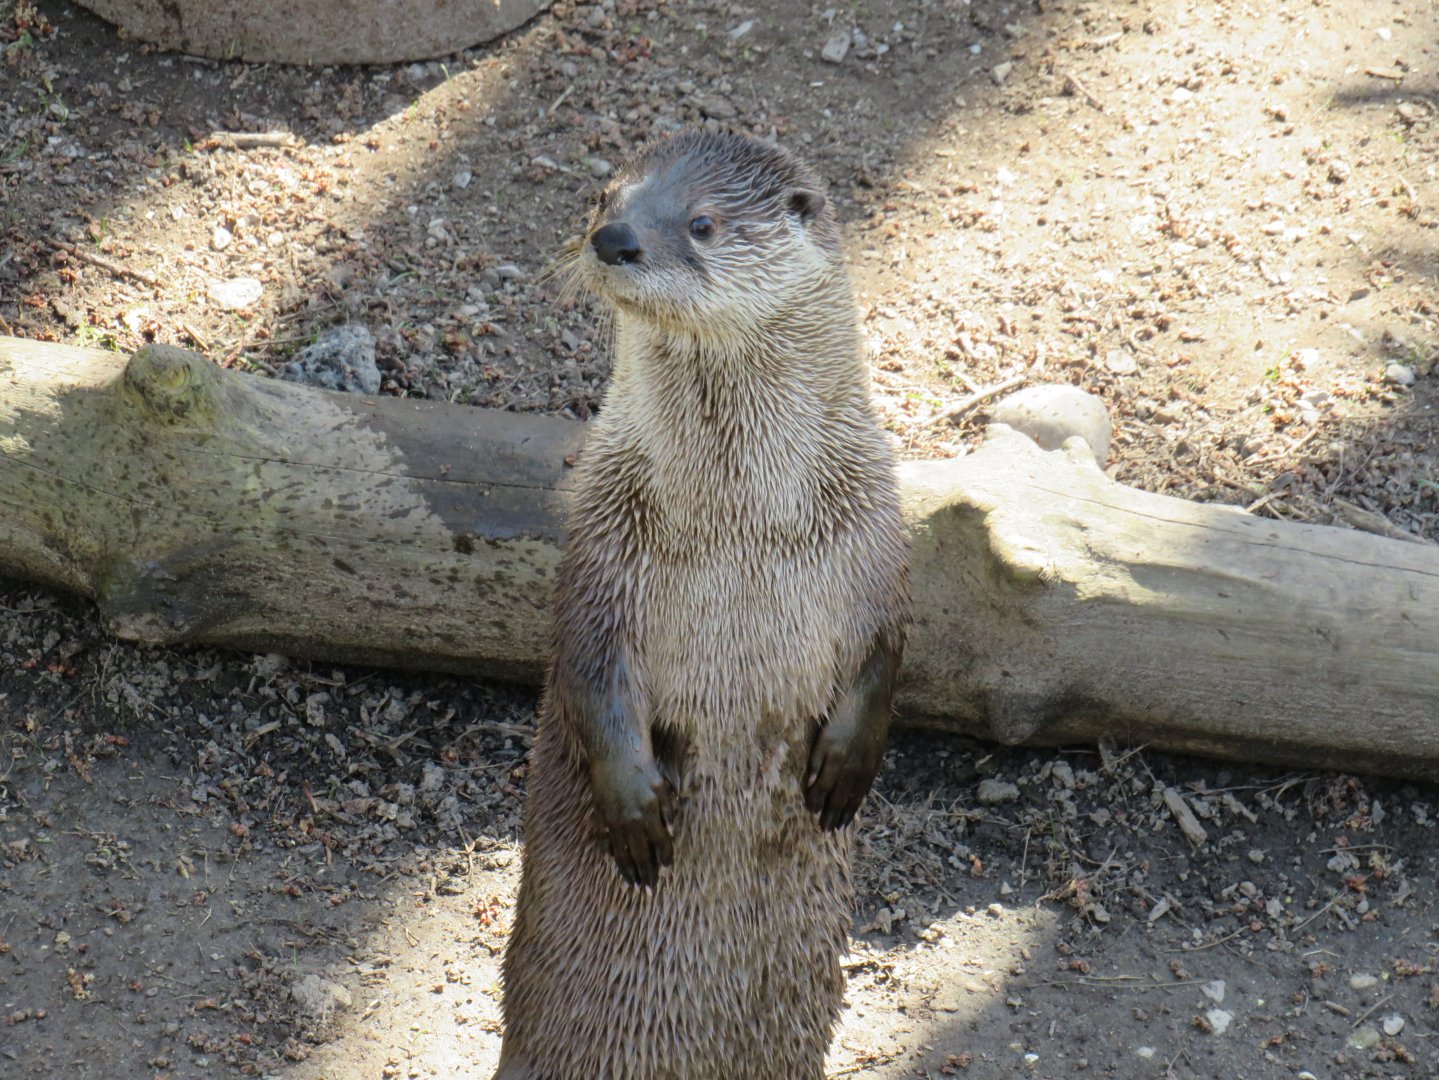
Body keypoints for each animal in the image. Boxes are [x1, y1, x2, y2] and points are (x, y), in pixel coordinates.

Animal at [494, 131, 910, 1080]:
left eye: (702, 222)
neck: (739, 518)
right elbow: (587, 665)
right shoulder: (603, 540)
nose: (613, 239)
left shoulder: (874, 528)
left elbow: (889, 642)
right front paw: (634, 803)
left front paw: (847, 763)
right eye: (603, 197)